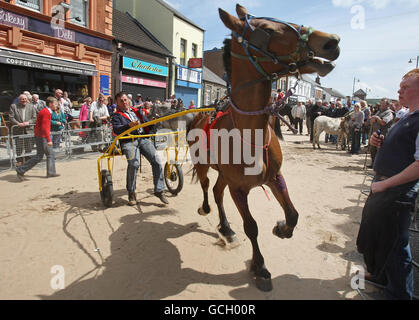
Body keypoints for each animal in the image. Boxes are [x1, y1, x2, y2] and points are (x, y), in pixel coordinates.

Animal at [189, 3, 340, 292]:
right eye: (268, 30)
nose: (331, 40)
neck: (249, 132)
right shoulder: (238, 189)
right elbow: (251, 227)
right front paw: (259, 267)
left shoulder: (274, 177)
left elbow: (292, 214)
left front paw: (282, 228)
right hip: (203, 165)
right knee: (206, 187)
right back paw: (206, 209)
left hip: (225, 176)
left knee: (217, 192)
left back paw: (226, 227)